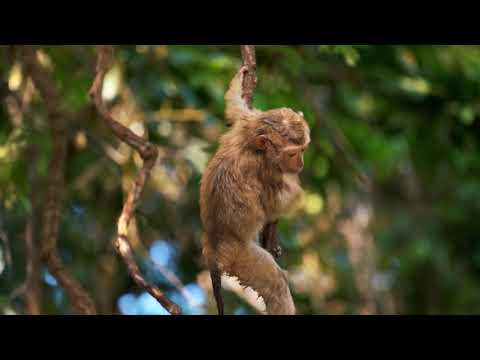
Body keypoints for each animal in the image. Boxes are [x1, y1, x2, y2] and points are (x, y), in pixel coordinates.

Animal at [200, 66, 310, 314]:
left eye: (304, 149)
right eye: (292, 153)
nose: (300, 164)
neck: (249, 143)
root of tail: (213, 252)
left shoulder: (247, 122)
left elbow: (234, 110)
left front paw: (239, 81)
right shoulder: (266, 169)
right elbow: (272, 207)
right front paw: (296, 187)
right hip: (241, 257)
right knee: (276, 284)